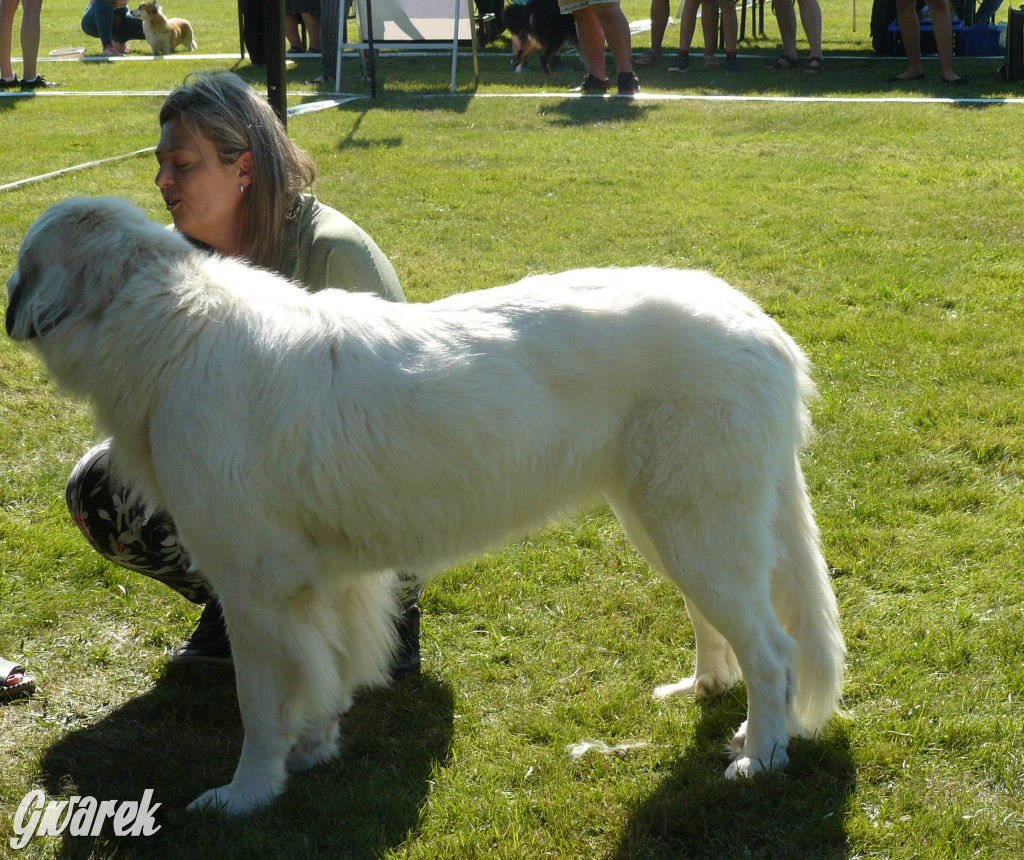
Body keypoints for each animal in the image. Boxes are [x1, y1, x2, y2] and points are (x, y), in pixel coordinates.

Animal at [4, 196, 843, 819]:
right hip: (669, 524)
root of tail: (760, 325)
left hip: (694, 524)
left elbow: (261, 704)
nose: (8, 313)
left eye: (24, 264)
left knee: (773, 648)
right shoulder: (317, 586)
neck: (165, 326)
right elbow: (325, 675)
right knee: (721, 626)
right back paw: (704, 694)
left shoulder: (254, 588)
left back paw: (760, 757)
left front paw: (246, 795)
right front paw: (313, 754)